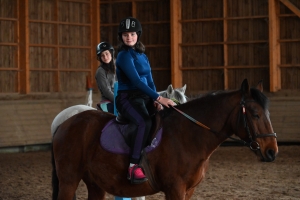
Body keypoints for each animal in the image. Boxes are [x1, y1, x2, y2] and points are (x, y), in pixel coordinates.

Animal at [51, 79, 278, 199]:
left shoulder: (189, 191)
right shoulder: (174, 189)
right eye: (255, 114)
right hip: (69, 181)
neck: (188, 135)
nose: (272, 151)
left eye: (268, 113)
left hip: (95, 184)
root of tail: (65, 122)